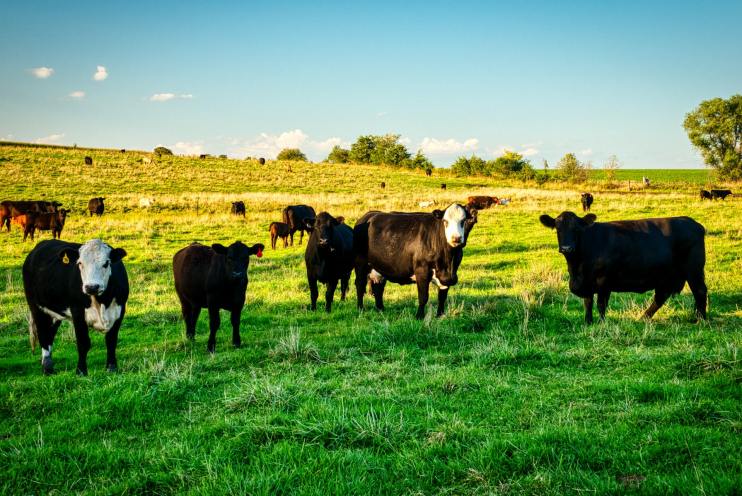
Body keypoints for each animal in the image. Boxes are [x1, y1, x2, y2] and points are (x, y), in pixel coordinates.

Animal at [23, 239, 129, 375]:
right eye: (80, 263)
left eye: (106, 263)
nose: (91, 287)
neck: (102, 302)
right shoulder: (77, 311)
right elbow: (83, 343)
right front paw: (81, 371)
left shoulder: (120, 311)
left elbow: (111, 340)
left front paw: (111, 368)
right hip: (36, 307)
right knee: (43, 335)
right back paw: (47, 368)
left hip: (55, 312)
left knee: (50, 334)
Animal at [539, 211, 707, 323]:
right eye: (558, 228)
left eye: (576, 229)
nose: (566, 248)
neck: (577, 267)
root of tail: (693, 223)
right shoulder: (587, 282)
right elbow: (588, 303)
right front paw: (588, 322)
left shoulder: (603, 280)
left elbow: (601, 304)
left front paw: (601, 323)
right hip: (666, 276)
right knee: (661, 297)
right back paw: (643, 318)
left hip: (694, 270)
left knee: (700, 291)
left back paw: (701, 320)